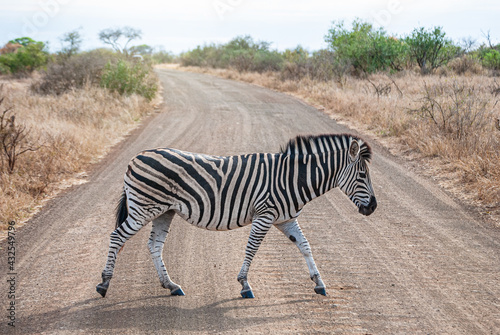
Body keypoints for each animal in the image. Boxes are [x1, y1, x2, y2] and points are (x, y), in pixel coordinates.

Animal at [95, 134, 376, 300]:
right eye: (363, 175)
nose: (373, 207)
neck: (291, 179)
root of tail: (136, 157)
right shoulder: (265, 214)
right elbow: (251, 249)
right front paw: (244, 285)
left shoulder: (285, 219)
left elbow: (306, 246)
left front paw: (319, 283)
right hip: (144, 208)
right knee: (117, 236)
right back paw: (104, 284)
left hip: (164, 211)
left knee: (154, 245)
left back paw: (172, 285)